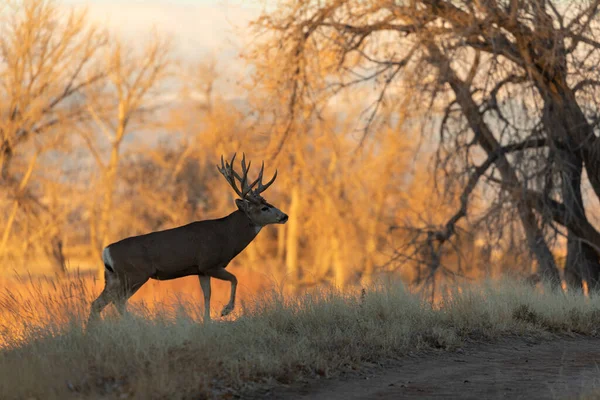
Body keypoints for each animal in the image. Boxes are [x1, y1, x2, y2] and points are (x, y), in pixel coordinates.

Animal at [86, 153, 288, 324]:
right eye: (264, 208)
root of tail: (106, 252)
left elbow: (207, 295)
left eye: (269, 203)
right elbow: (234, 278)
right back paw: (135, 323)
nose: (284, 216)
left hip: (113, 277)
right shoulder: (209, 263)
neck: (227, 236)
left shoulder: (200, 270)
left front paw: (207, 321)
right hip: (134, 274)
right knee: (118, 301)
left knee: (98, 303)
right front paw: (225, 310)